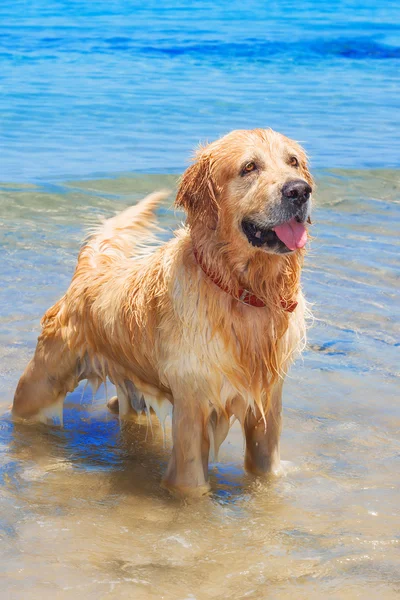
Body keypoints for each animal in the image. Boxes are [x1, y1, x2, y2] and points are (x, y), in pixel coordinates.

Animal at [11, 129, 312, 494]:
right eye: (249, 167)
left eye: (293, 161)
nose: (299, 190)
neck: (243, 292)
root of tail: (89, 273)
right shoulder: (193, 403)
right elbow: (190, 483)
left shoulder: (268, 402)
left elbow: (265, 469)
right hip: (39, 386)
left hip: (134, 392)